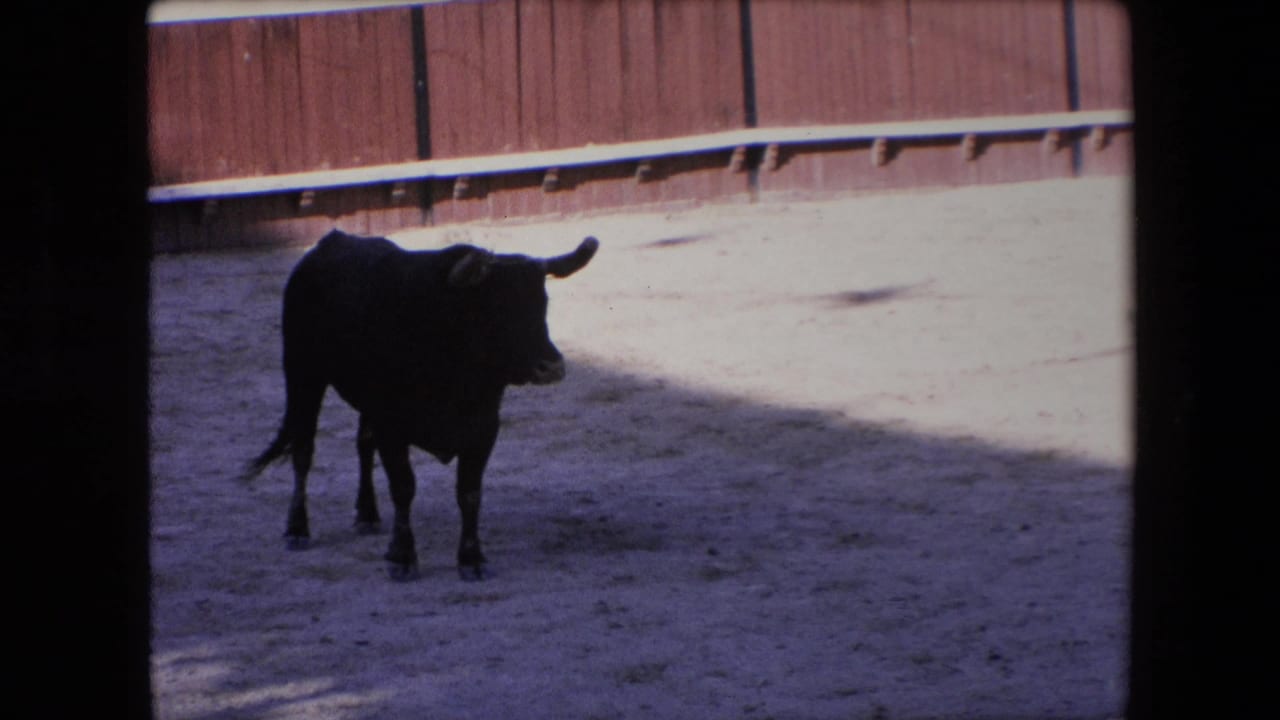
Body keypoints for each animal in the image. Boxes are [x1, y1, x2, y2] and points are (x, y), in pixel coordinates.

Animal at [243, 229, 599, 581]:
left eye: (543, 302)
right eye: (497, 307)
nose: (551, 367)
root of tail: (328, 242)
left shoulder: (484, 427)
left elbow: (469, 493)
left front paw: (471, 558)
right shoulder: (391, 426)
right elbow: (403, 486)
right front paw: (402, 557)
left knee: (363, 445)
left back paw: (367, 514)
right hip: (303, 374)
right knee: (303, 451)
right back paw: (297, 529)